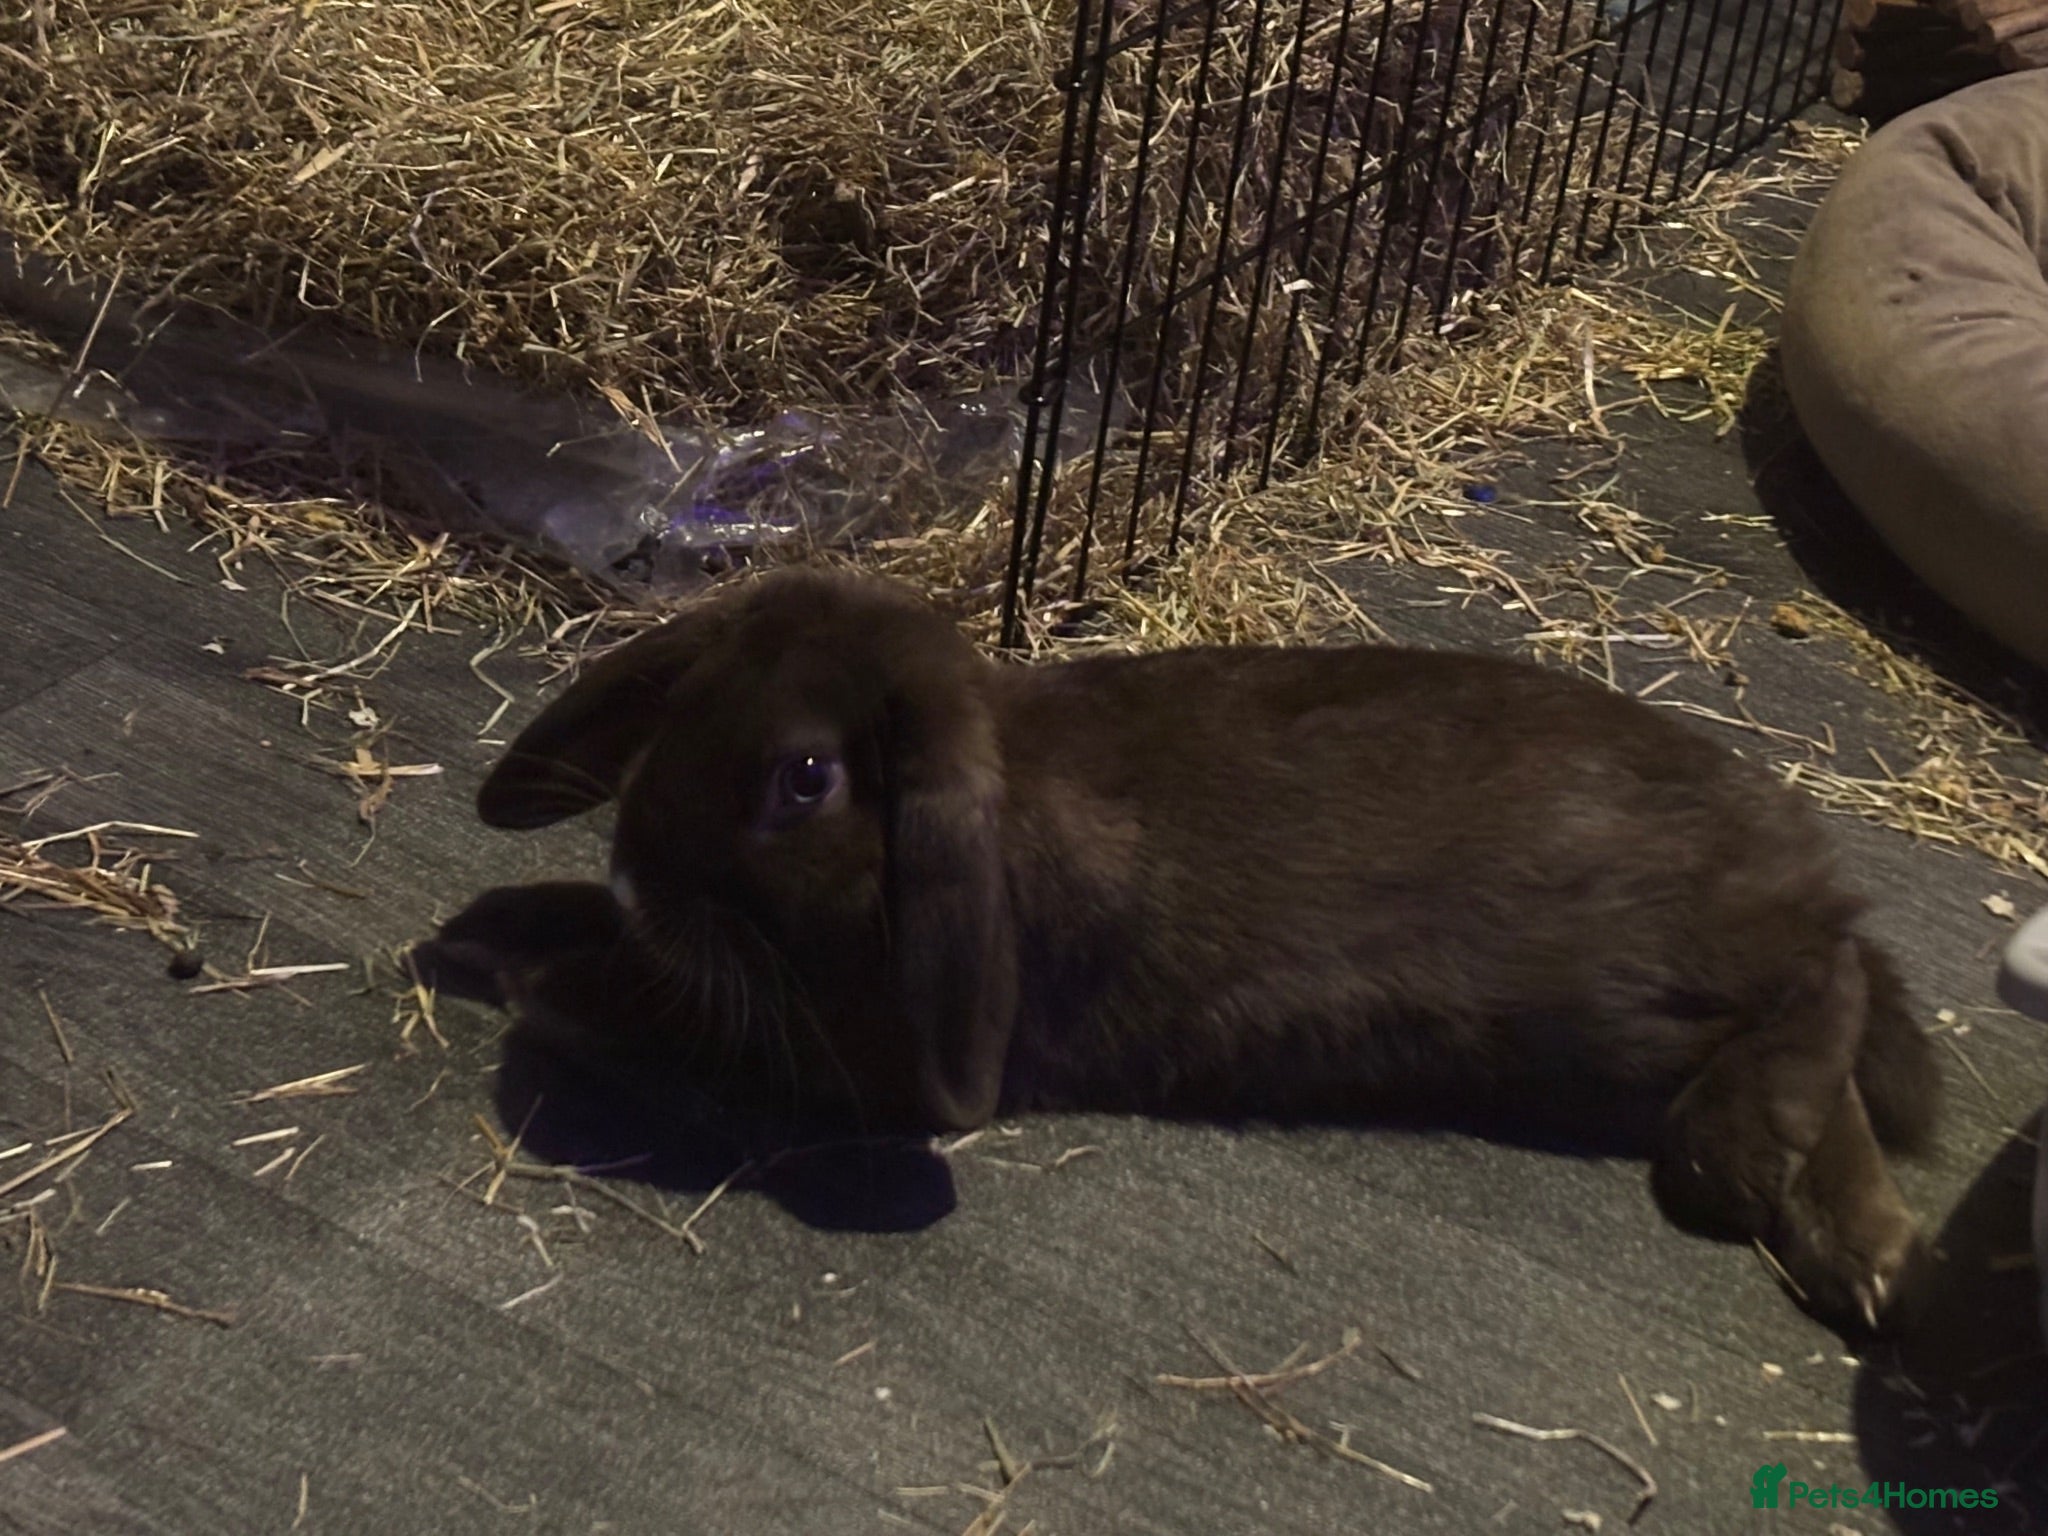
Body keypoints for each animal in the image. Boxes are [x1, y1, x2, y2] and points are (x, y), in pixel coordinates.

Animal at [464, 566, 1943, 1334]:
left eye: (806, 778)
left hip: (1632, 1005)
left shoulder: (860, 1055)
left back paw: (1754, 1173)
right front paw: (515, 930)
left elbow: (700, 1021)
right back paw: (1866, 1263)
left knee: (1822, 986)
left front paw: (553, 980)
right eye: (690, 698)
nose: (635, 870)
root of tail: (1793, 849)